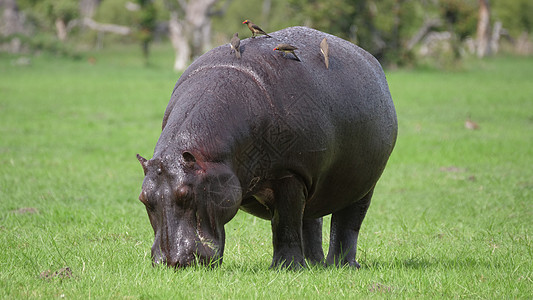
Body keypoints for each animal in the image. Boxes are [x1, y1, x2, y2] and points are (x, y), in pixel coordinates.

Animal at [136, 26, 394, 270]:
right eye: (143, 199)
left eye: (186, 195)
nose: (172, 261)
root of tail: (370, 58)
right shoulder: (301, 174)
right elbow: (293, 222)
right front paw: (294, 266)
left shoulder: (290, 173)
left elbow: (284, 223)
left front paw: (286, 268)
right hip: (313, 178)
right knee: (310, 219)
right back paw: (314, 265)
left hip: (363, 183)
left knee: (348, 222)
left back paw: (342, 265)